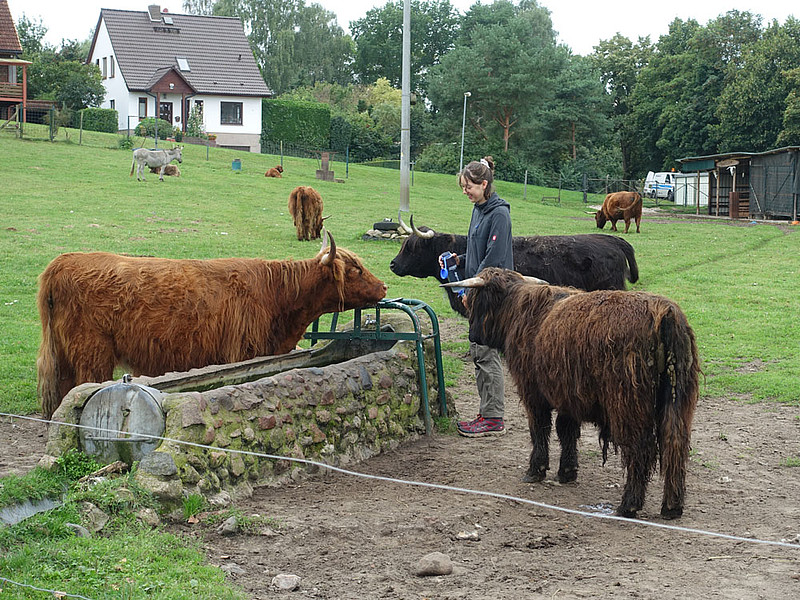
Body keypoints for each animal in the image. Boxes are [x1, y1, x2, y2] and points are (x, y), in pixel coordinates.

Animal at [36, 232, 386, 420]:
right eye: (355, 270)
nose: (383, 286)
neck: (278, 297)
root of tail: (61, 262)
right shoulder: (243, 351)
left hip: (65, 353)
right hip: (92, 350)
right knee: (83, 383)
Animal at [446, 270, 704, 516]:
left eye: (475, 300)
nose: (472, 335)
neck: (516, 311)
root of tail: (665, 311)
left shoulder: (533, 393)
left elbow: (540, 429)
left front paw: (536, 470)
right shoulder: (568, 395)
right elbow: (566, 430)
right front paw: (567, 471)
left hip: (627, 404)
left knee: (641, 449)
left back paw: (629, 505)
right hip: (678, 401)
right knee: (675, 445)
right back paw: (672, 507)